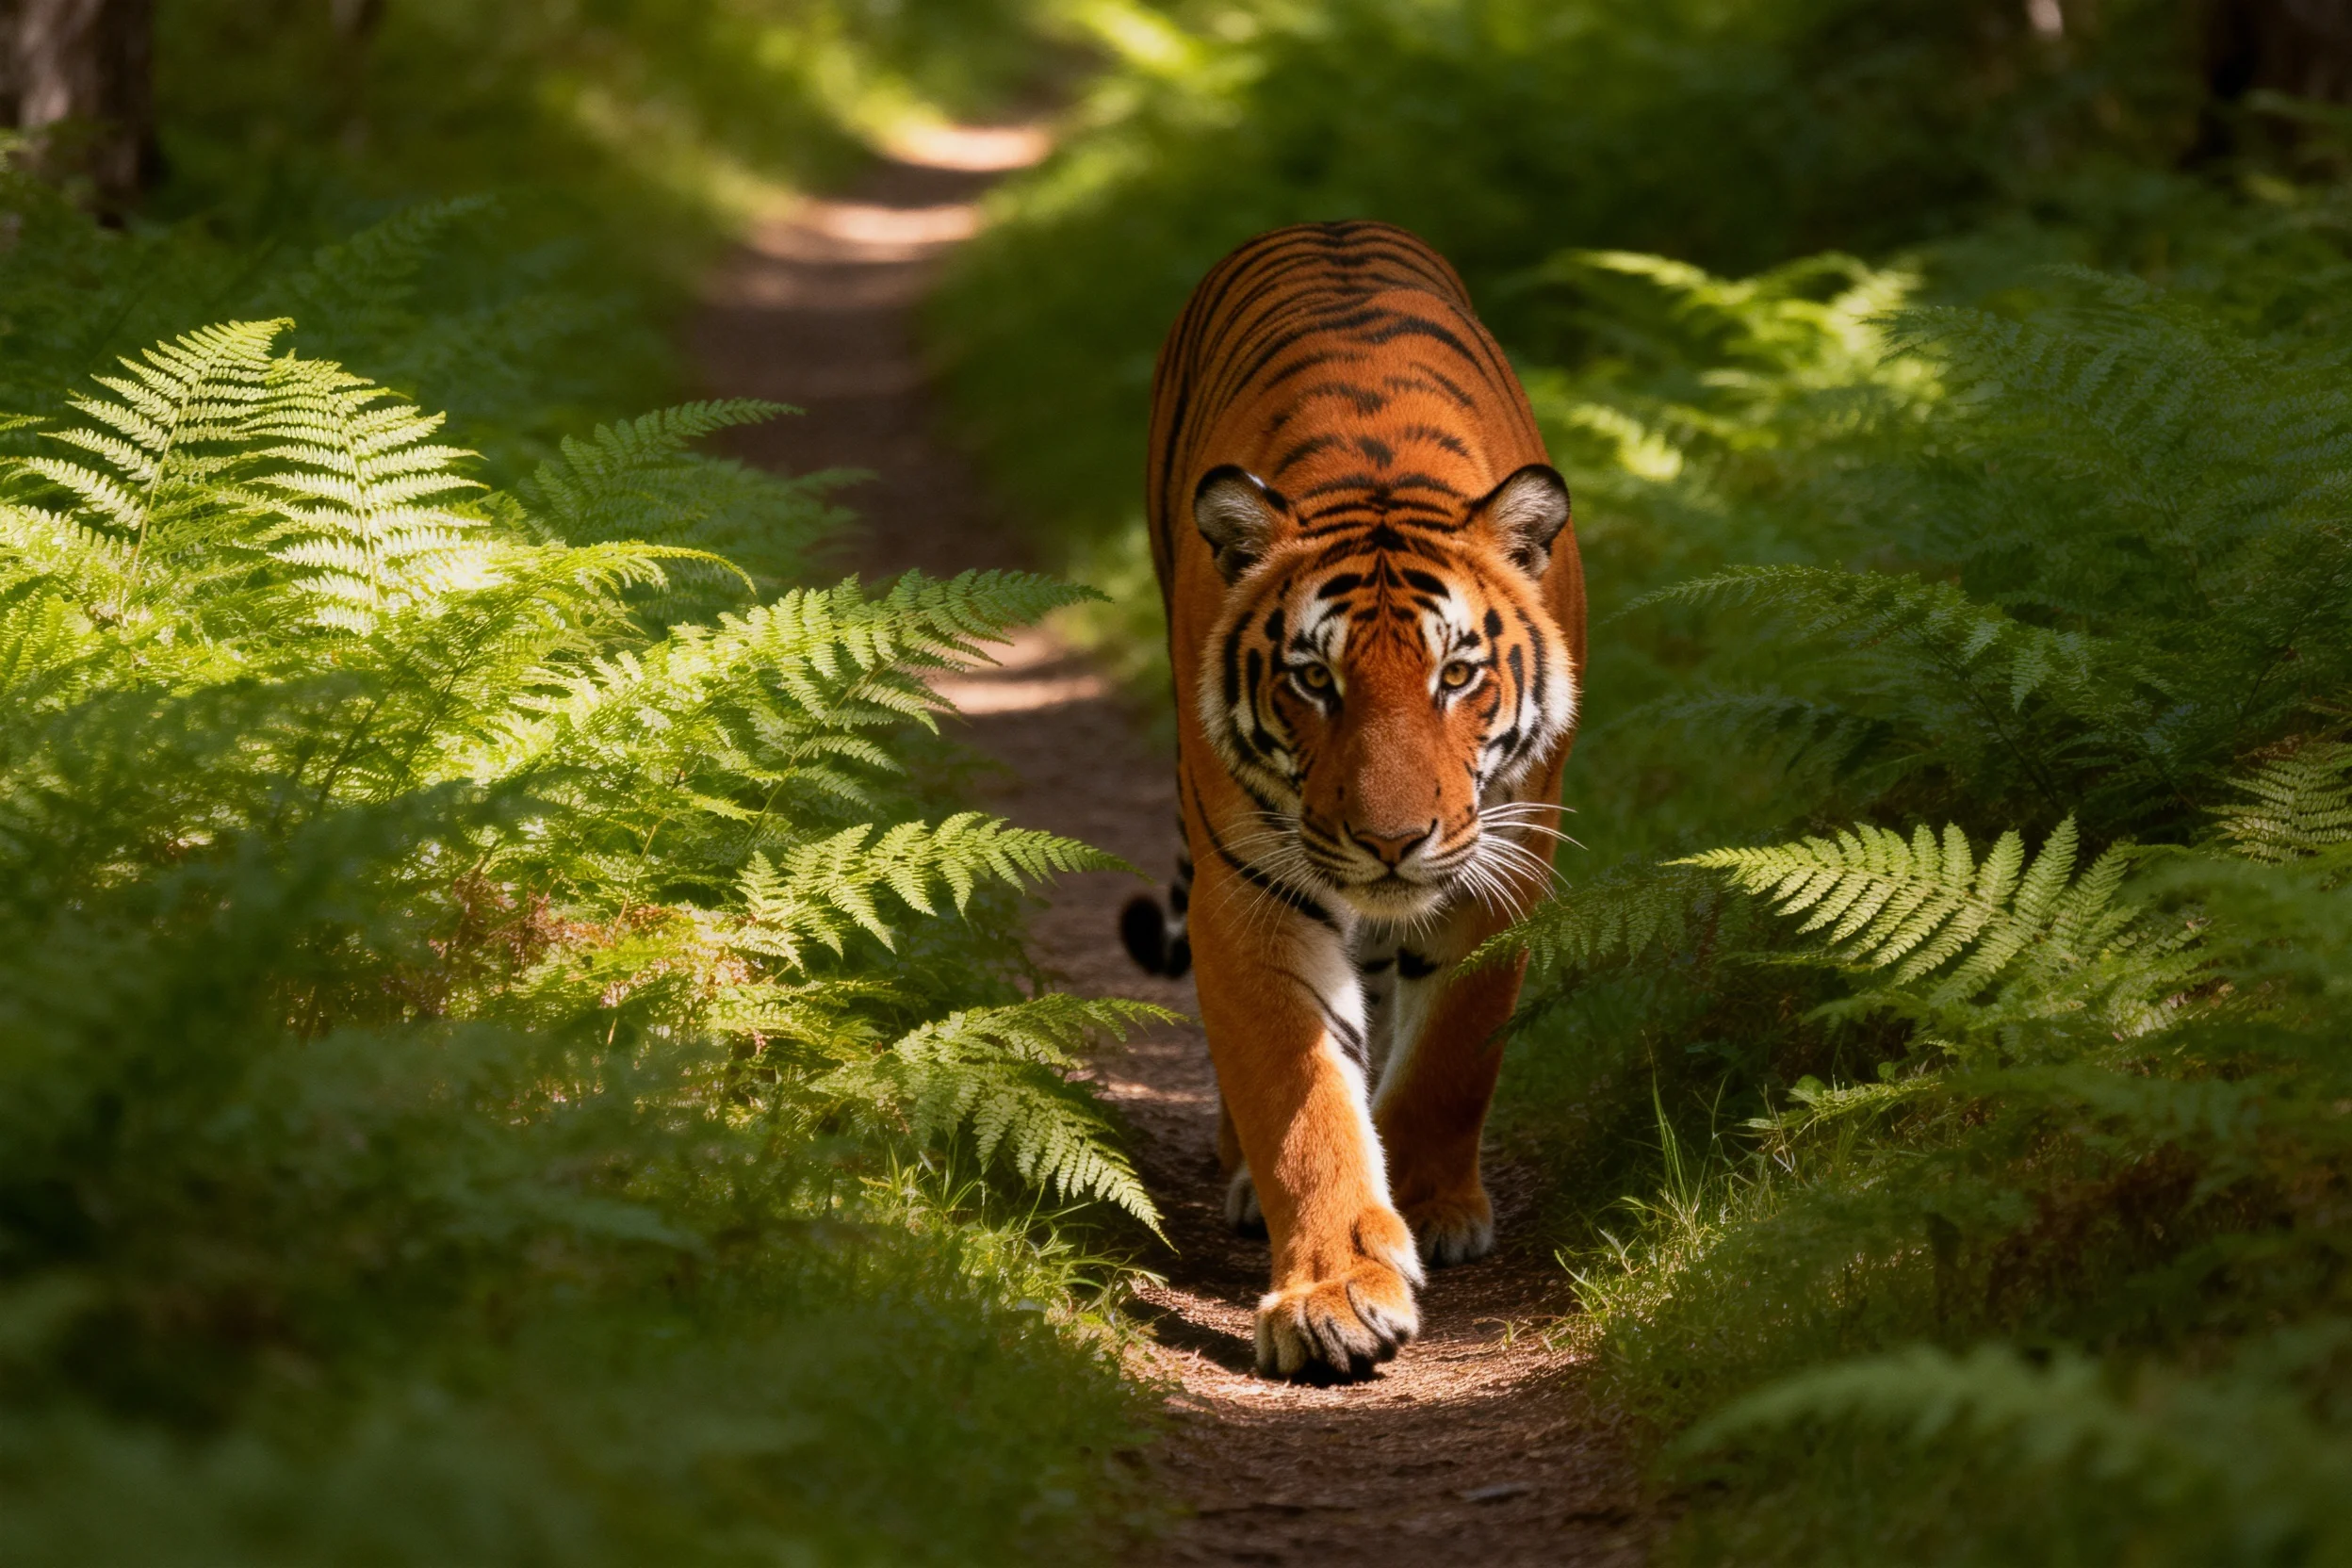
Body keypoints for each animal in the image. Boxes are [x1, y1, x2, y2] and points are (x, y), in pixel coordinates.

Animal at [1117, 220, 1587, 1381]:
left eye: (1456, 675)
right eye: (1313, 679)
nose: (1390, 841)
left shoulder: (1506, 857)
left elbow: (1458, 1044)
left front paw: (1427, 1200)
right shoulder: (1252, 887)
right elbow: (1301, 1100)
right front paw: (1332, 1290)